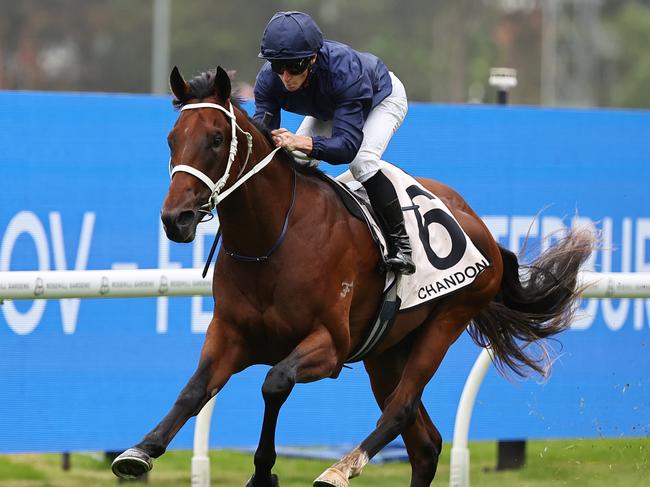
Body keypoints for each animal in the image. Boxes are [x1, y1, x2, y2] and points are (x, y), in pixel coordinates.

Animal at [110, 67, 592, 487]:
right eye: (171, 139)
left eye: (214, 138)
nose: (176, 218)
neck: (272, 240)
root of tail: (481, 228)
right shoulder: (231, 333)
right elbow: (194, 391)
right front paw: (140, 451)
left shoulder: (330, 346)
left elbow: (274, 383)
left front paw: (264, 472)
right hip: (386, 351)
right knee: (425, 444)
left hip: (446, 321)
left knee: (400, 409)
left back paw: (340, 468)